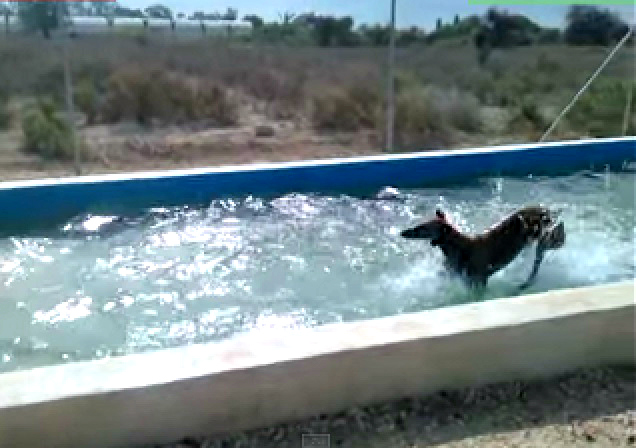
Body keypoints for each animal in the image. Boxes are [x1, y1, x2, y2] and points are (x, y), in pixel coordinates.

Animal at [402, 206, 568, 288]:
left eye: (422, 228)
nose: (403, 232)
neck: (460, 246)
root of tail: (545, 209)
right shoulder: (460, 277)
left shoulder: (479, 280)